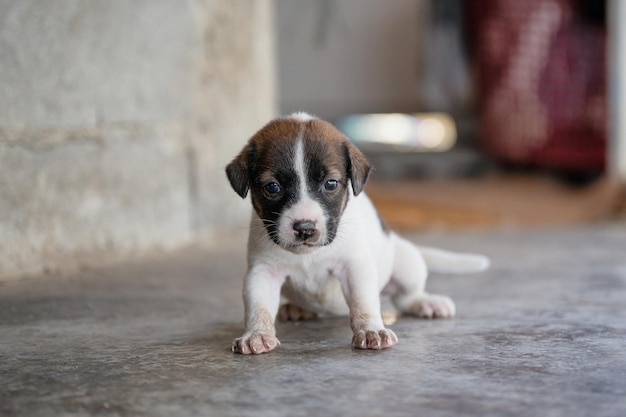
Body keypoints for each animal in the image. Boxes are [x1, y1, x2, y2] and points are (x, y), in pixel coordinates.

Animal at [224, 112, 488, 352]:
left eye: (330, 183)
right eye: (272, 187)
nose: (305, 228)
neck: (309, 256)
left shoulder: (354, 266)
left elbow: (364, 302)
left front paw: (371, 329)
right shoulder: (262, 272)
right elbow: (258, 308)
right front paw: (256, 333)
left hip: (407, 264)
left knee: (406, 297)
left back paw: (426, 302)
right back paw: (298, 308)